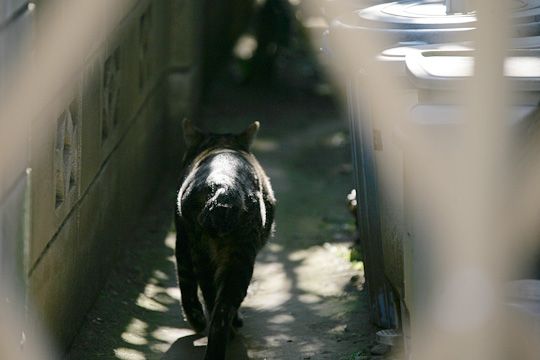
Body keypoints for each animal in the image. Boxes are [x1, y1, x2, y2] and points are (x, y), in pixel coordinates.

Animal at [175, 119, 274, 358]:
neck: (221, 143)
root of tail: (222, 189)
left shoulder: (182, 240)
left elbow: (187, 285)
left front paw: (197, 322)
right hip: (237, 255)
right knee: (221, 307)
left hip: (202, 251)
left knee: (212, 298)